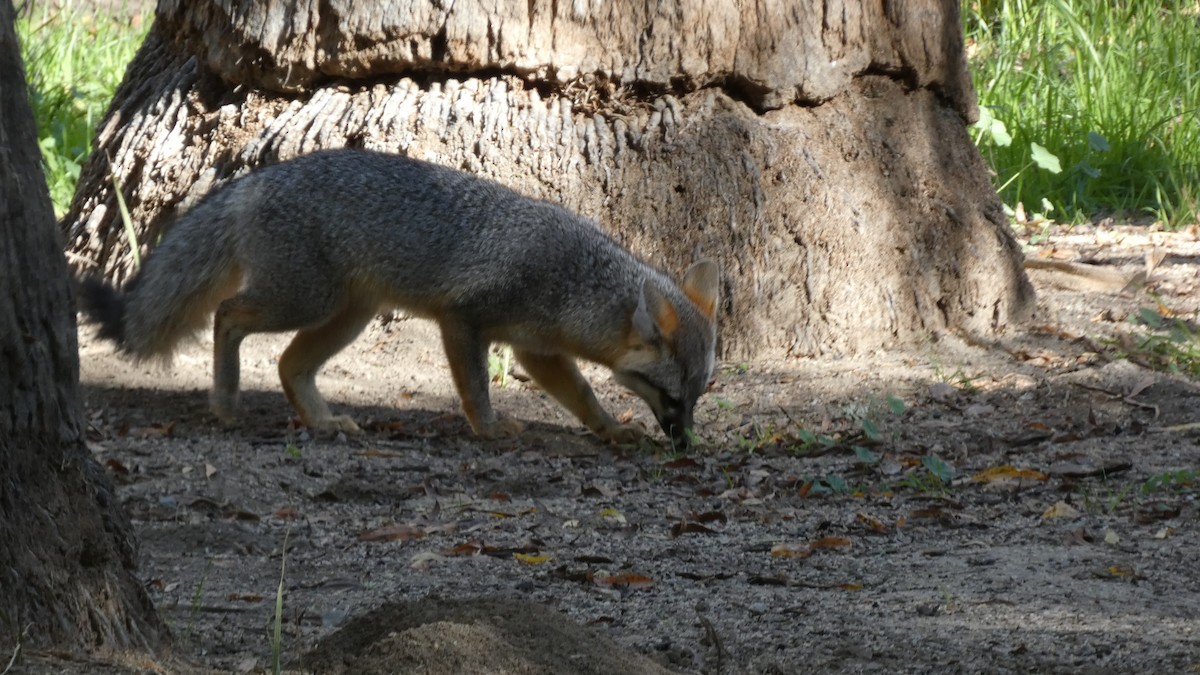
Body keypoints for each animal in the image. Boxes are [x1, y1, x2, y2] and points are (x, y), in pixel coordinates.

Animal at [79, 149, 720, 447]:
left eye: (696, 397)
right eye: (672, 396)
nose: (685, 443)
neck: (572, 279)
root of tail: (256, 179)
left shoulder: (537, 351)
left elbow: (584, 395)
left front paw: (610, 428)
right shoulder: (463, 320)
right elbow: (476, 387)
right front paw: (489, 428)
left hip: (346, 317)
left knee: (288, 364)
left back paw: (320, 420)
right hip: (302, 301)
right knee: (226, 314)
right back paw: (227, 401)